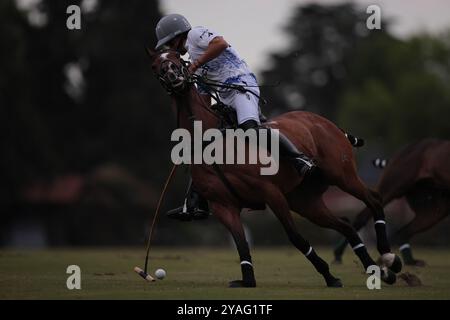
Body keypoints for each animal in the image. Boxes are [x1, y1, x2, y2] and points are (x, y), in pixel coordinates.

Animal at [149, 49, 400, 288]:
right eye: (155, 64)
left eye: (177, 58)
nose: (172, 75)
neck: (210, 139)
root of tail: (328, 123)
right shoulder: (223, 205)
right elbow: (241, 243)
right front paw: (247, 280)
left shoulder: (270, 193)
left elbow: (295, 237)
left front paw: (329, 276)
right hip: (304, 201)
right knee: (345, 225)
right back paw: (377, 271)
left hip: (342, 175)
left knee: (374, 200)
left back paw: (389, 259)